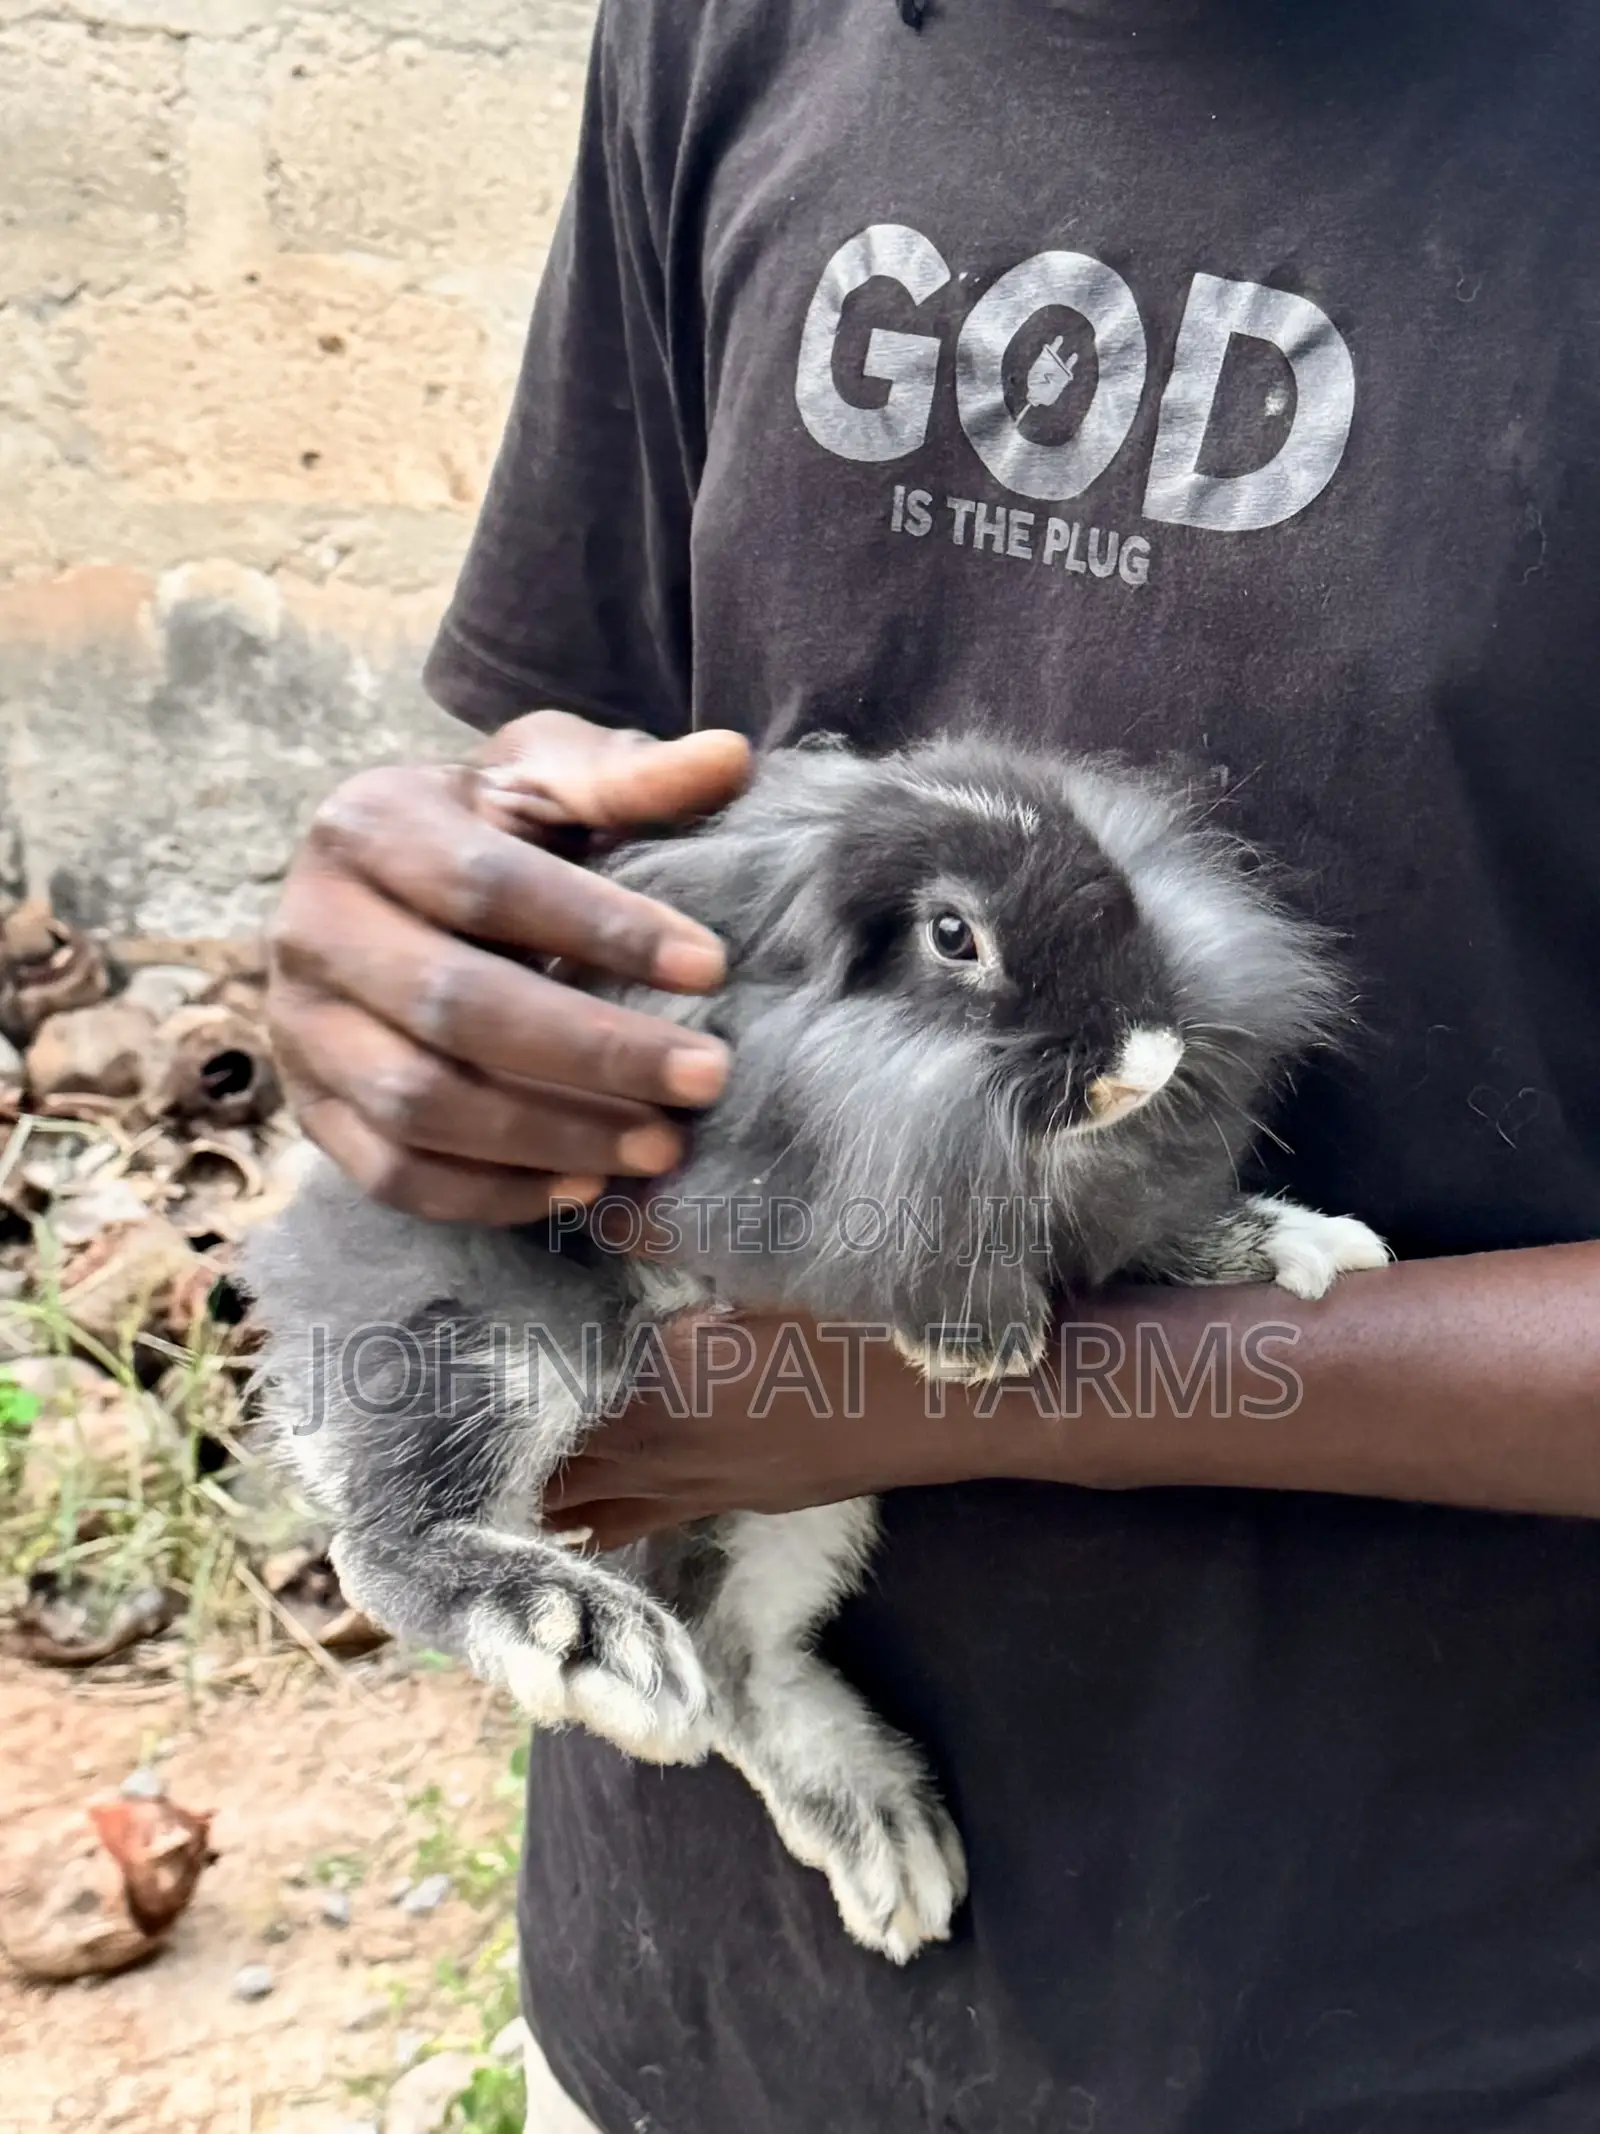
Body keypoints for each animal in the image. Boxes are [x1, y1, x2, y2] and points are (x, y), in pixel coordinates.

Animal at [242, 734, 1388, 1962]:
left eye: (1112, 878)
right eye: (952, 935)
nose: (1147, 1061)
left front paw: (1301, 1245)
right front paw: (978, 1343)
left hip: (795, 1511)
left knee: (736, 1666)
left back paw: (886, 1837)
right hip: (497, 1342)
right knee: (383, 1546)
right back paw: (585, 1638)